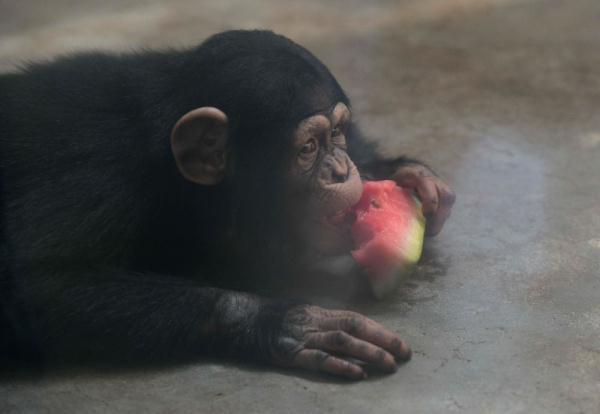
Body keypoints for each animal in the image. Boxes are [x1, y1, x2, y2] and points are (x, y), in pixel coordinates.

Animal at [1, 29, 454, 378]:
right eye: (309, 147)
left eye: (339, 132)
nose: (342, 169)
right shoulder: (92, 174)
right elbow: (36, 287)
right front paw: (280, 320)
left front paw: (406, 173)